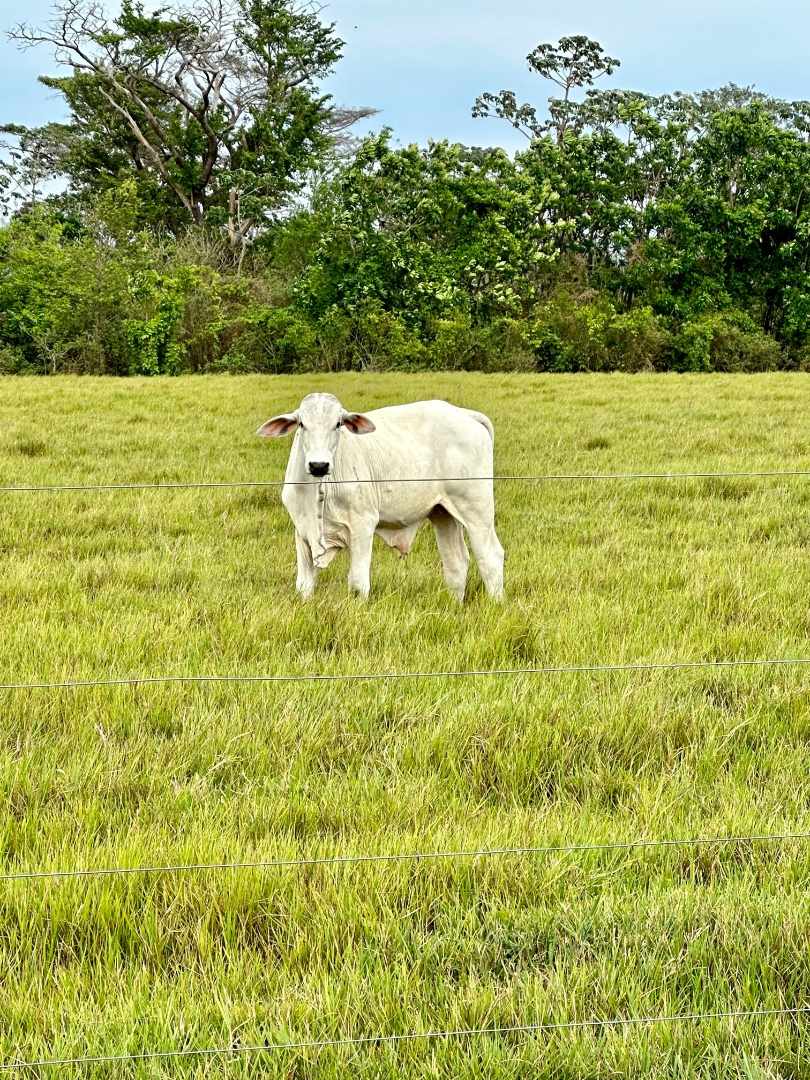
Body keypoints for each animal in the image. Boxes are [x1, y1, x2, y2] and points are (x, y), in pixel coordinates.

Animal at [257, 395, 505, 604]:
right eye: (301, 424)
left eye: (338, 424)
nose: (319, 465)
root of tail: (465, 414)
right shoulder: (302, 530)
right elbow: (304, 585)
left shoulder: (362, 524)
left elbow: (358, 582)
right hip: (443, 513)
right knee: (456, 562)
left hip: (476, 508)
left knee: (490, 556)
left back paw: (496, 604)